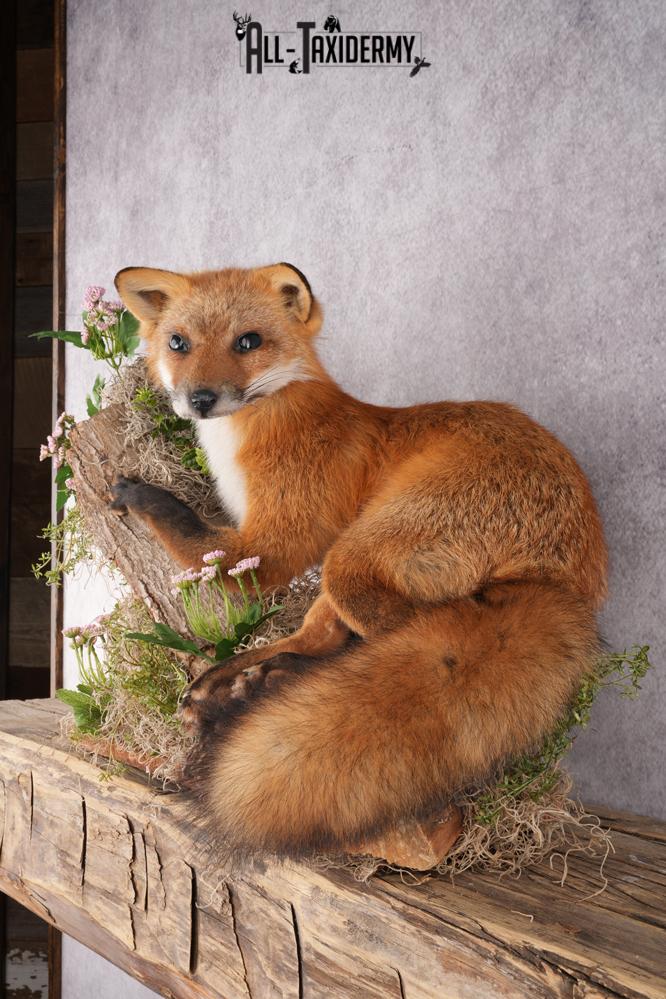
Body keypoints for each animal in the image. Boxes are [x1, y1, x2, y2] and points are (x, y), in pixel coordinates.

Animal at [111, 262, 608, 858]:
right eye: (178, 343)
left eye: (247, 342)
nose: (201, 398)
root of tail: (563, 579)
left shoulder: (271, 547)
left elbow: (197, 535)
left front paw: (143, 497)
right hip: (346, 566)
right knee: (320, 637)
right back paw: (236, 683)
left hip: (352, 557)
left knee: (383, 638)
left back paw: (263, 685)